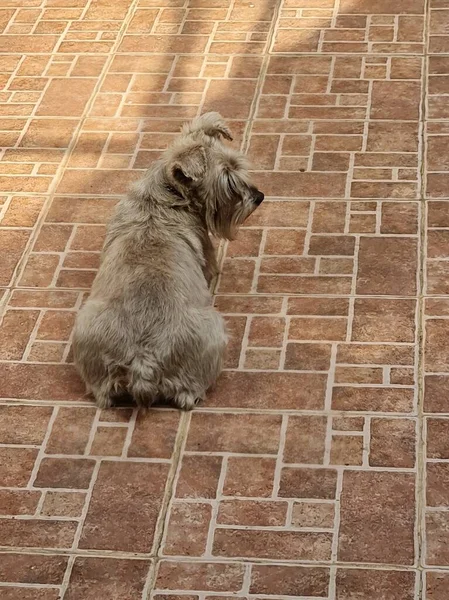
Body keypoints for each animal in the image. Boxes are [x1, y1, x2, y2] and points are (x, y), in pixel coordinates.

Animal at [72, 112, 264, 410]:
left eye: (238, 165)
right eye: (227, 181)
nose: (258, 197)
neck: (165, 196)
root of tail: (144, 362)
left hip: (86, 329)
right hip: (213, 331)